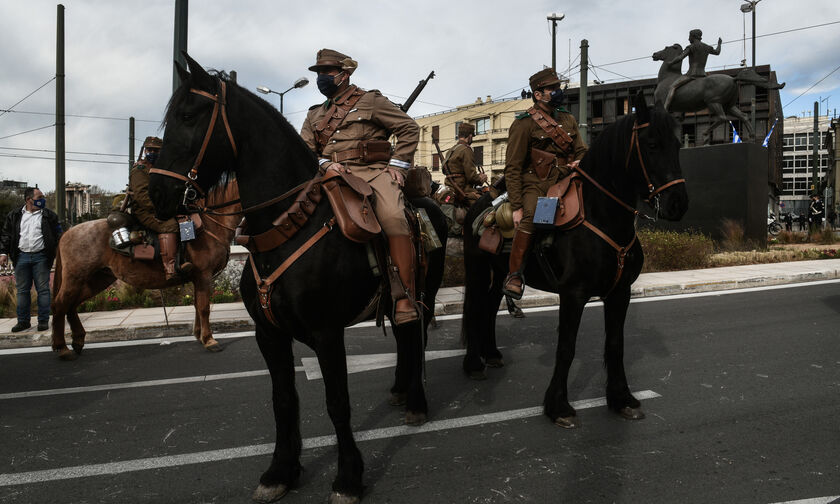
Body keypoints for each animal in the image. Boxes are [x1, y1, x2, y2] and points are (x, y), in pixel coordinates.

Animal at [50, 181, 240, 358]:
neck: (210, 224)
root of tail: (67, 232)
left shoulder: (197, 279)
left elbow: (196, 305)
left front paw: (199, 335)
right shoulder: (203, 275)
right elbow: (204, 307)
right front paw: (209, 340)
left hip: (97, 279)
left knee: (71, 304)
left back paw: (78, 340)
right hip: (75, 278)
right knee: (60, 304)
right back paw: (62, 348)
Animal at [146, 55, 446, 504]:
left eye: (188, 116)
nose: (155, 194)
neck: (288, 225)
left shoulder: (326, 332)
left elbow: (337, 401)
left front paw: (348, 477)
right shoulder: (269, 334)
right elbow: (283, 400)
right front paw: (280, 471)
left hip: (423, 288)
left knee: (416, 335)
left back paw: (416, 400)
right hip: (392, 302)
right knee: (404, 336)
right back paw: (399, 390)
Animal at [460, 90, 688, 426]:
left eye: (677, 144)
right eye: (651, 144)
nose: (678, 204)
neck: (602, 216)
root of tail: (480, 204)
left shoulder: (620, 293)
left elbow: (615, 345)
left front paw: (621, 398)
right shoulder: (573, 294)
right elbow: (566, 348)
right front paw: (558, 406)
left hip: (499, 274)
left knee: (488, 309)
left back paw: (492, 355)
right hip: (477, 270)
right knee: (476, 309)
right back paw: (474, 364)